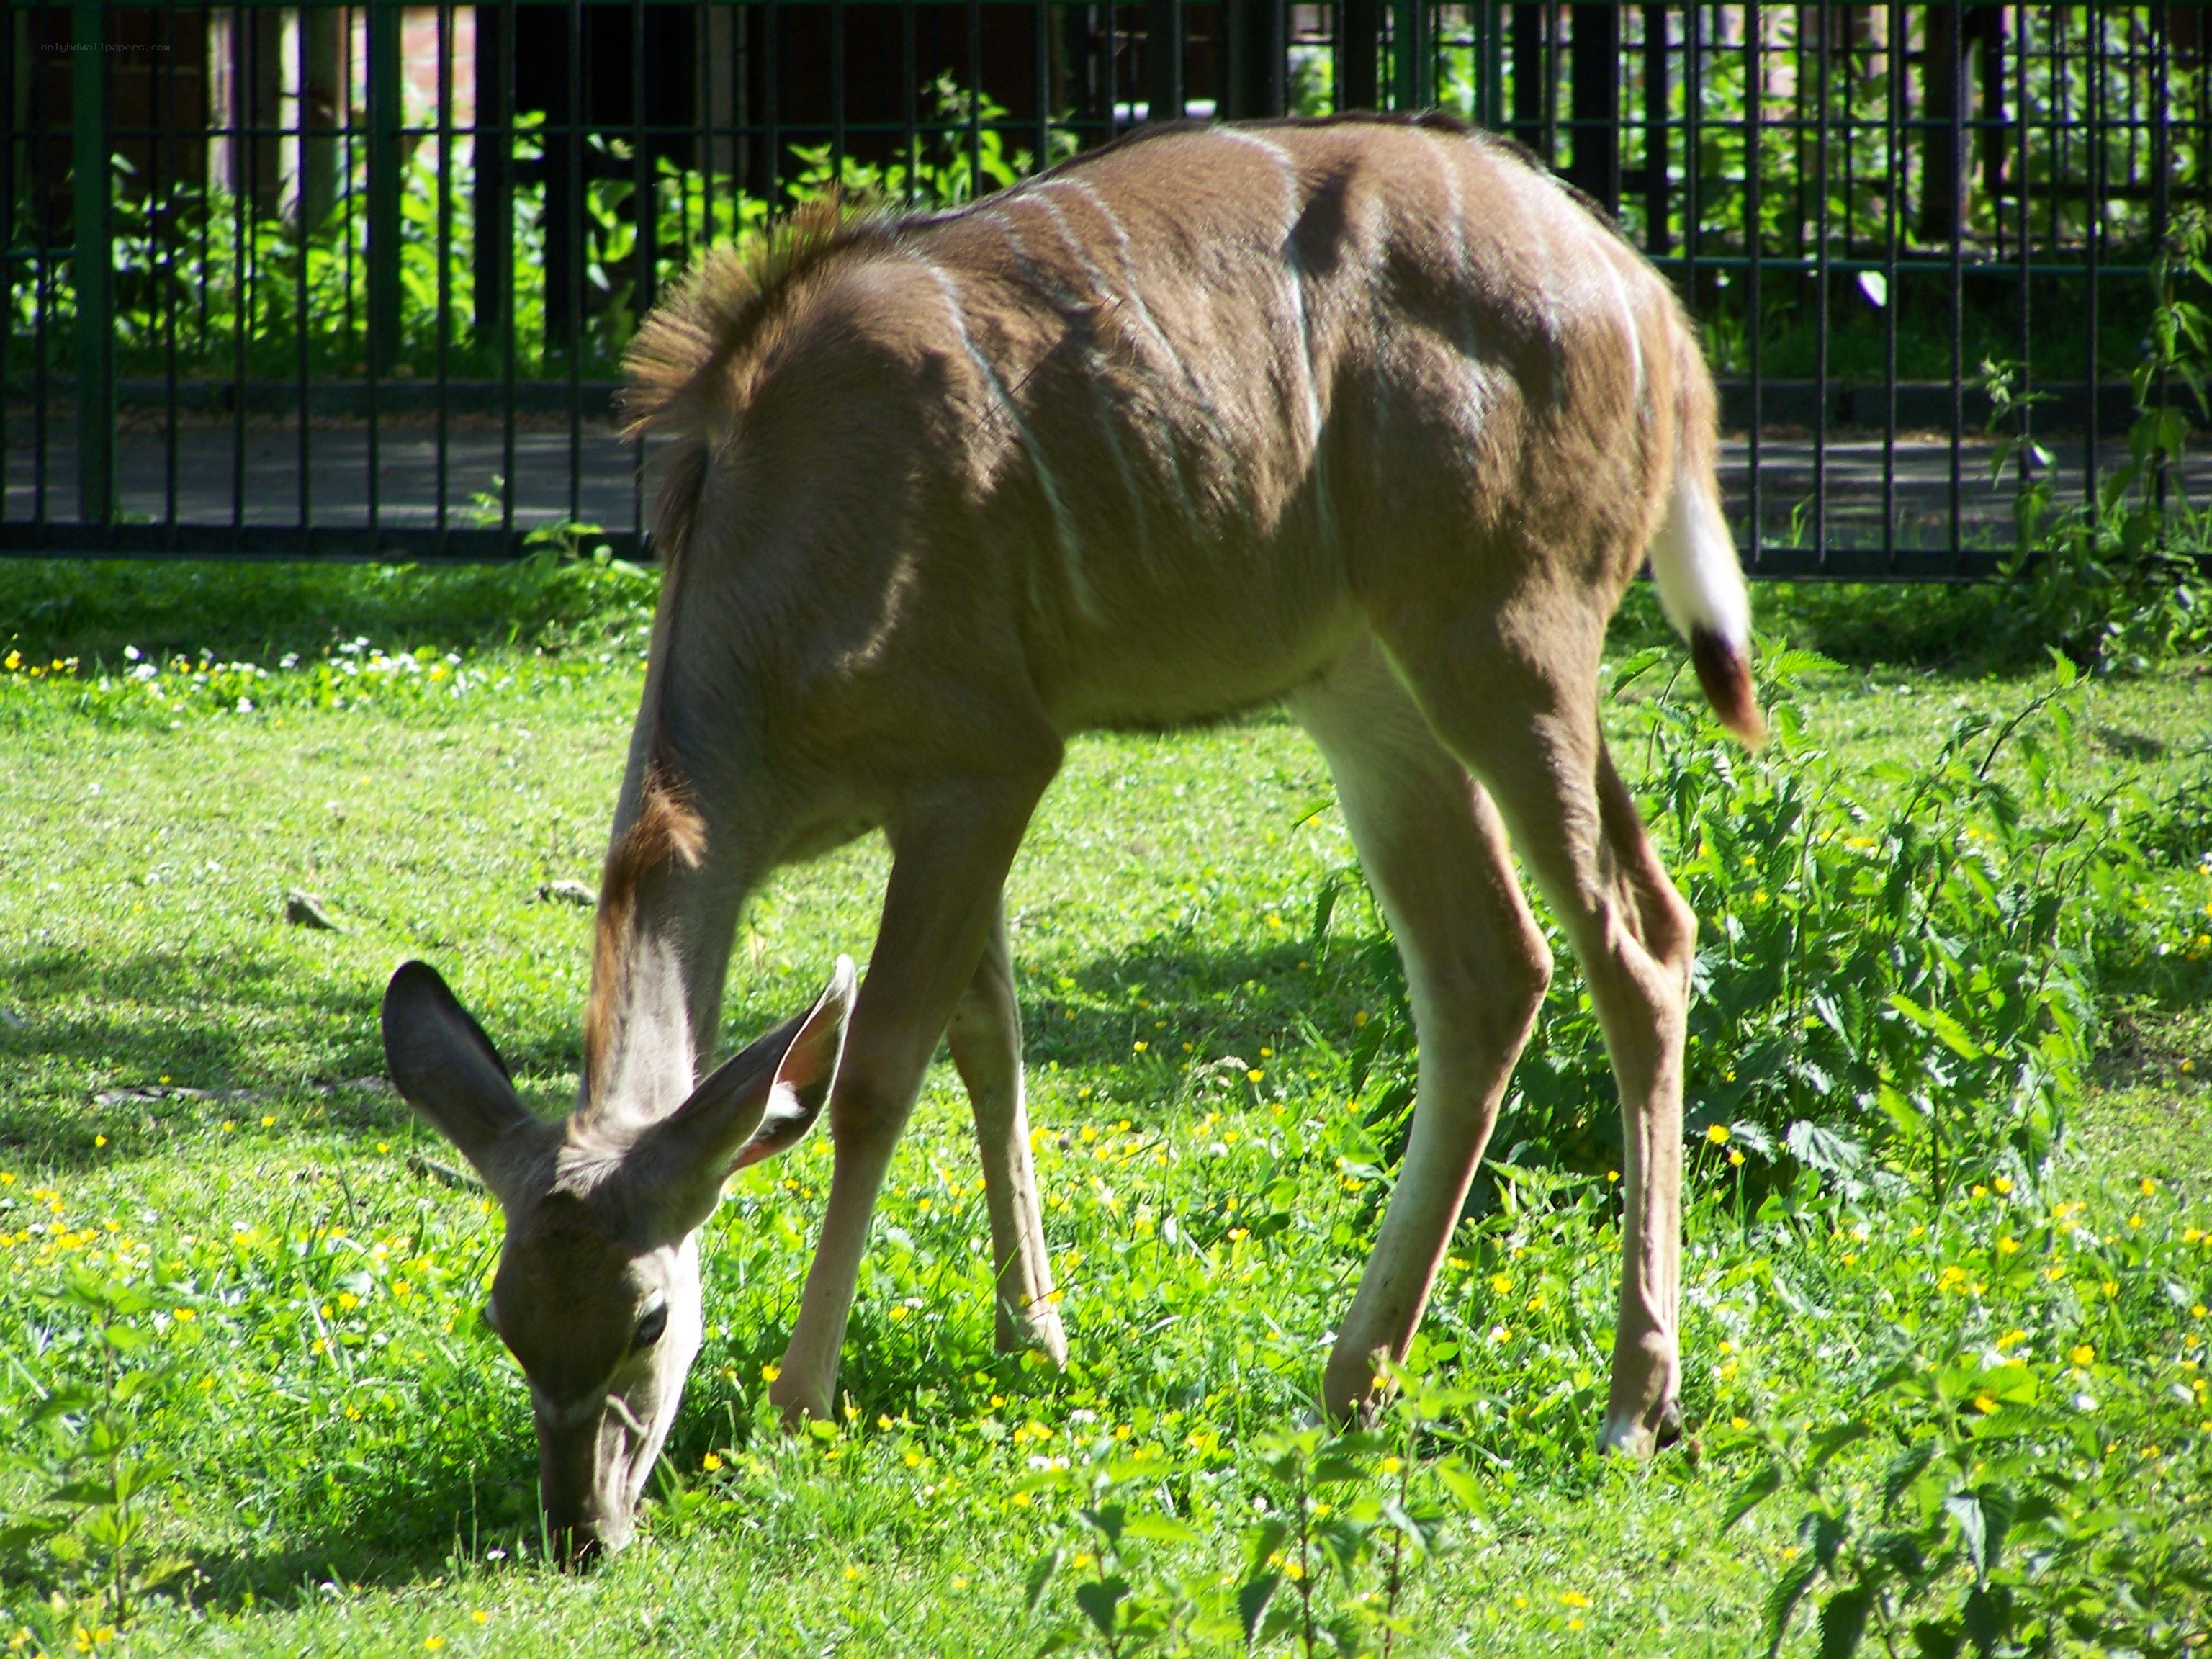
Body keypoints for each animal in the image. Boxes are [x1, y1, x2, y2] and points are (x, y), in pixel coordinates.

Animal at [380, 111, 1764, 1562]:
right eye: (503, 1317)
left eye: (648, 1315)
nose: (579, 1525)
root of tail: (1649, 308)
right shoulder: (942, 804)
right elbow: (990, 1041)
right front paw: (1032, 1336)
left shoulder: (989, 765)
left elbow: (878, 1072)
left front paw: (801, 1400)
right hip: (1367, 683)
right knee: (1493, 966)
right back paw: (1354, 1381)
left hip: (1507, 635)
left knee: (1637, 943)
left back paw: (1634, 1403)